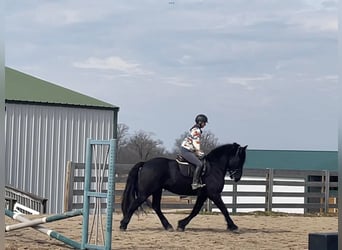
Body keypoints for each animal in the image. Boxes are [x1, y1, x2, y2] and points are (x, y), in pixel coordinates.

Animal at [119, 142, 247, 231]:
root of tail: (145, 163)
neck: (214, 167)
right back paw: (123, 225)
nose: (237, 177)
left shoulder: (204, 194)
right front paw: (233, 226)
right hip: (146, 192)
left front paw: (181, 224)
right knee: (135, 204)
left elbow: (195, 210)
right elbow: (224, 209)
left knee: (156, 206)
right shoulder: (214, 194)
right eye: (240, 159)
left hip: (157, 190)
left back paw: (168, 226)